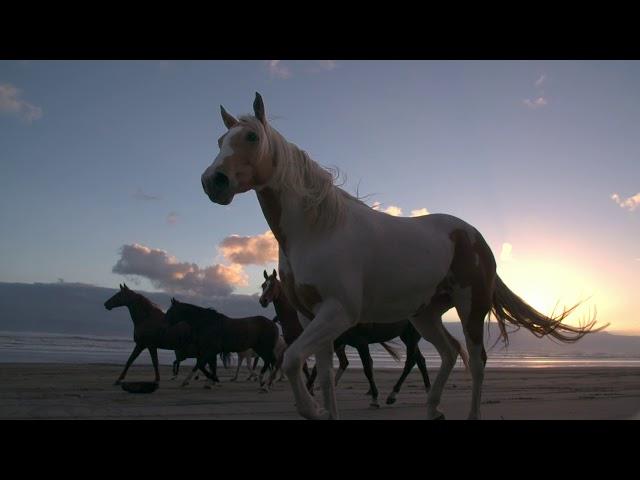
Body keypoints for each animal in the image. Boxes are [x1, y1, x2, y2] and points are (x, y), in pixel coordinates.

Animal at [200, 94, 604, 420]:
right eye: (220, 141)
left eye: (251, 137)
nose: (212, 182)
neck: (317, 231)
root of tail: (474, 235)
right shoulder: (314, 317)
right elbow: (325, 377)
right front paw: (325, 409)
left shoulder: (338, 313)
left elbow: (292, 360)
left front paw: (311, 410)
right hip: (424, 316)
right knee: (449, 352)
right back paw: (433, 408)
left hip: (470, 307)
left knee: (476, 361)